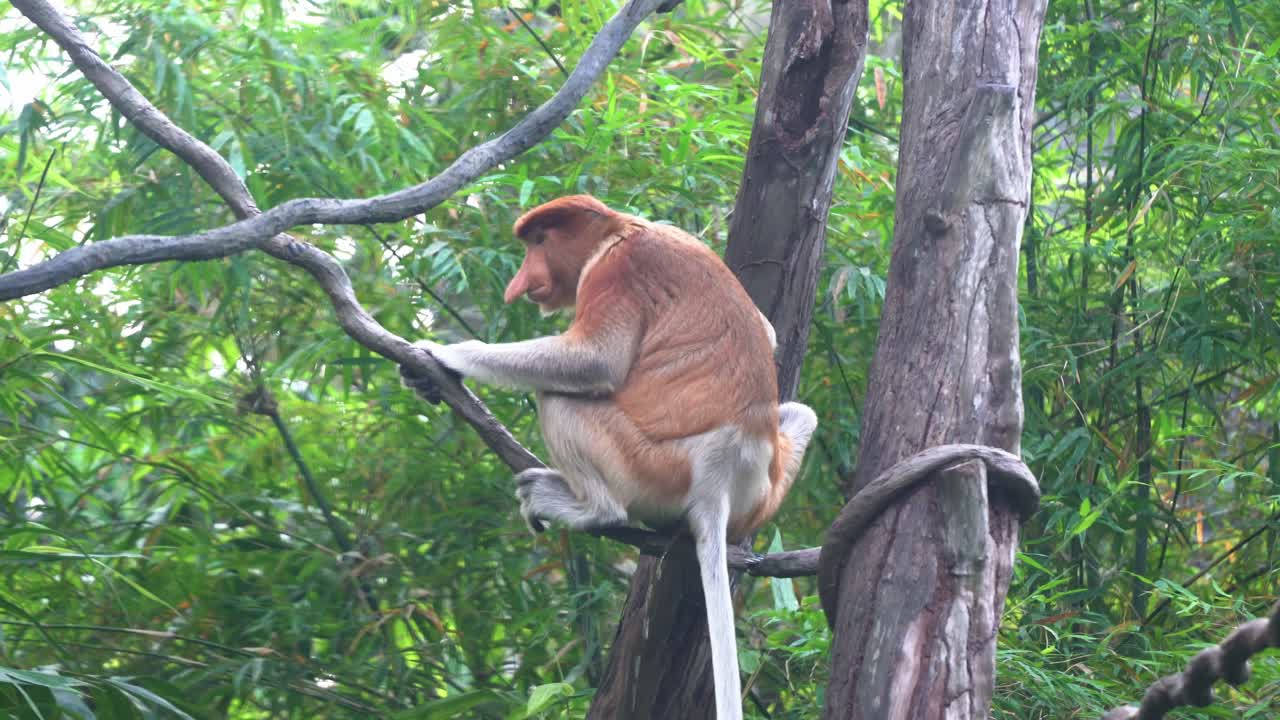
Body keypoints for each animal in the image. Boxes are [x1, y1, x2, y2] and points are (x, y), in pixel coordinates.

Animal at [402, 194, 817, 720]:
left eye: (540, 241)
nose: (521, 282)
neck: (622, 229)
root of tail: (721, 480)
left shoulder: (617, 271)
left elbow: (595, 360)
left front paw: (443, 353)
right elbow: (767, 330)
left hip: (647, 466)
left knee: (561, 400)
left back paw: (583, 506)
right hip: (764, 484)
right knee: (800, 413)